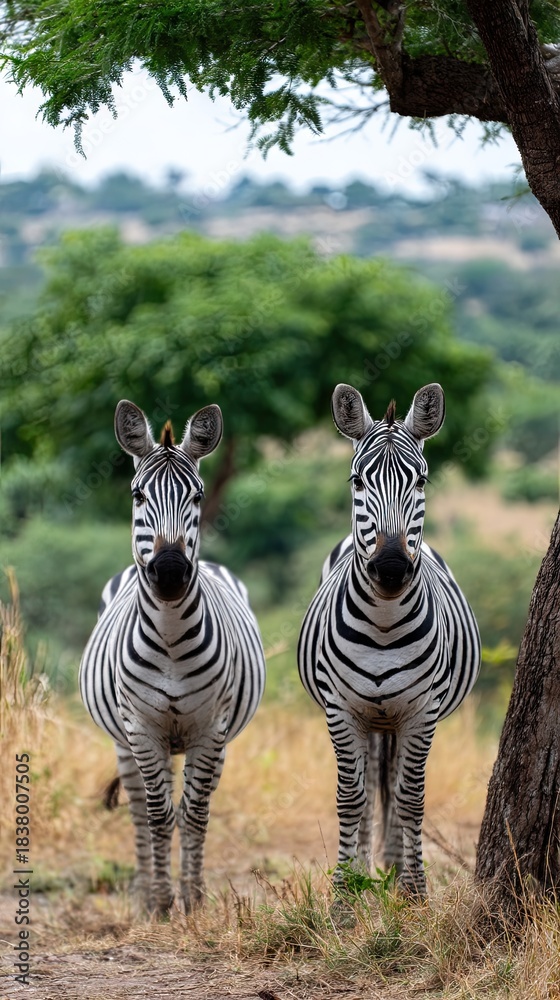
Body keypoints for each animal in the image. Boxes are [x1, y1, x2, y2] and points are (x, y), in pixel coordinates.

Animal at [79, 400, 265, 915]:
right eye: (138, 495)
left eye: (198, 497)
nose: (168, 573)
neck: (169, 640)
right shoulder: (142, 728)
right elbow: (159, 814)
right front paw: (162, 904)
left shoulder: (210, 728)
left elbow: (195, 814)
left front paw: (193, 900)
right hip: (125, 741)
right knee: (140, 808)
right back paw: (145, 892)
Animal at [297, 383, 480, 896]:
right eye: (358, 481)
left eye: (421, 482)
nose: (392, 568)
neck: (382, 622)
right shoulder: (341, 709)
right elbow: (351, 798)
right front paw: (344, 893)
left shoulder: (422, 710)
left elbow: (411, 797)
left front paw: (415, 892)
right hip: (370, 718)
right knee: (367, 792)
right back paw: (366, 870)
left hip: (399, 718)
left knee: (397, 787)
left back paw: (395, 872)